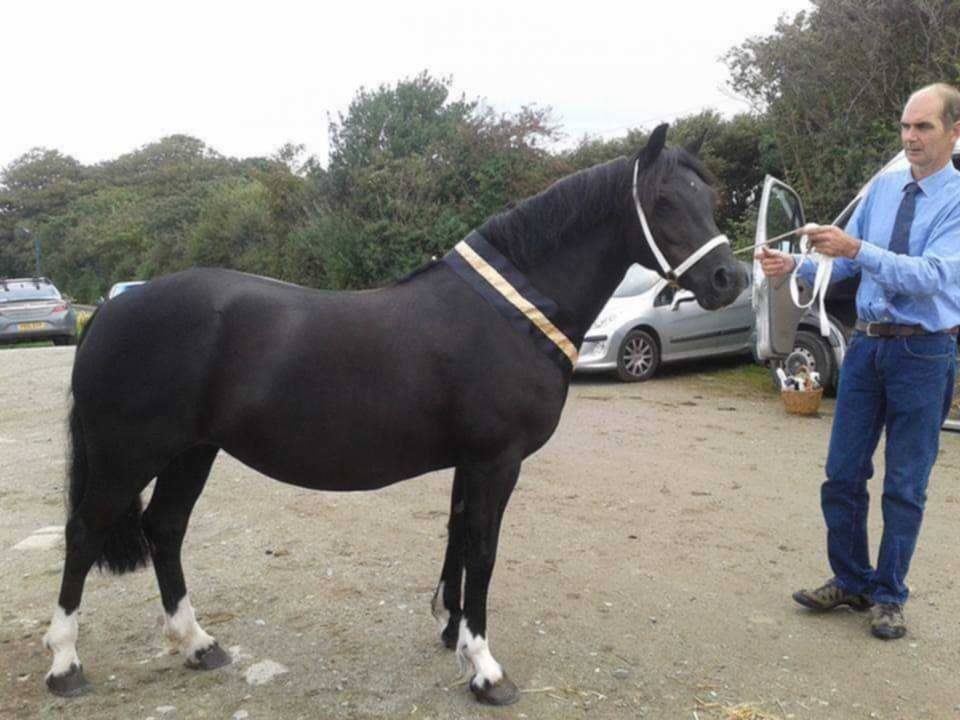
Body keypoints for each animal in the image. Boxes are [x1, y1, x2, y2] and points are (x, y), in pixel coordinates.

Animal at [42, 123, 747, 705]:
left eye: (709, 198)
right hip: (127, 456)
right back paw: (65, 665)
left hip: (192, 452)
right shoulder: (497, 461)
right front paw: (485, 670)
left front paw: (453, 634)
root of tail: (112, 309)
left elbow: (458, 539)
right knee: (83, 534)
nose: (727, 280)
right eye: (664, 202)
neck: (510, 312)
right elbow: (483, 551)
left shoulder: (471, 462)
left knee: (164, 529)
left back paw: (197, 645)